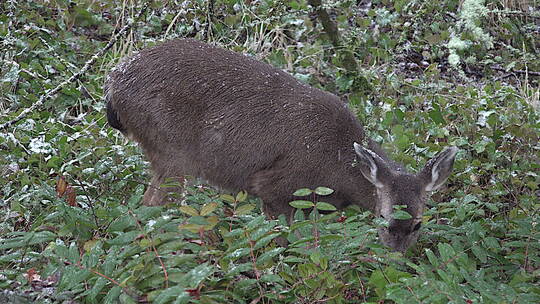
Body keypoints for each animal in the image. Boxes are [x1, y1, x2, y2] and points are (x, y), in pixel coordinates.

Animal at [104, 38, 456, 252]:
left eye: (418, 223)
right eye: (383, 217)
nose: (395, 254)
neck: (337, 166)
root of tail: (113, 84)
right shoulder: (274, 186)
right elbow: (285, 241)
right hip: (173, 151)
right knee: (153, 206)